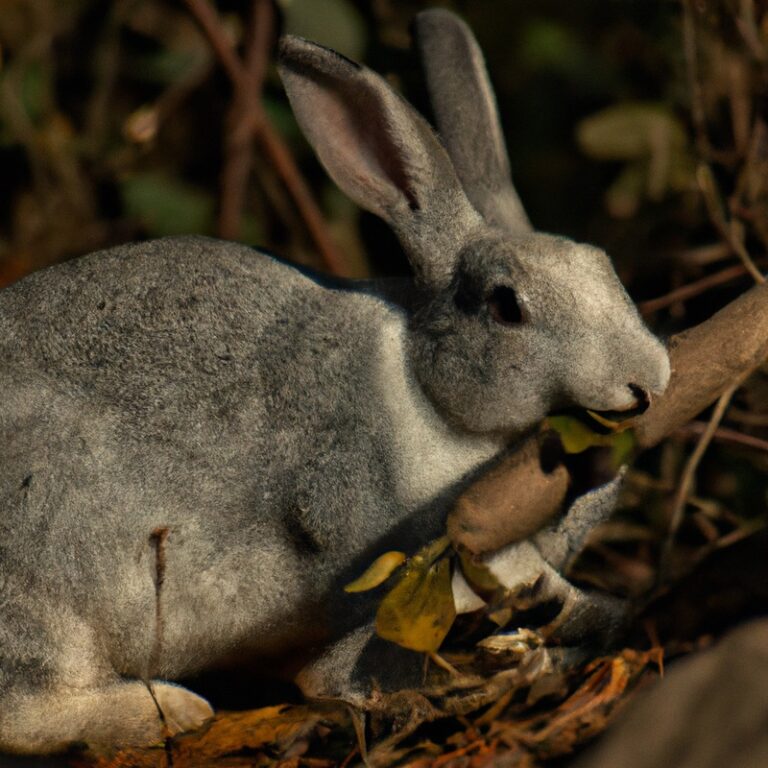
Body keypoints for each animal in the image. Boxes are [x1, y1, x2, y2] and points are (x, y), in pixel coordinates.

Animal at [0, 8, 670, 754]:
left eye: (604, 265)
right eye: (507, 306)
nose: (648, 378)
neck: (426, 393)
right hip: (49, 559)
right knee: (23, 711)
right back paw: (171, 711)